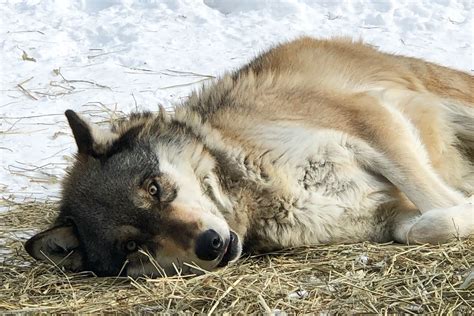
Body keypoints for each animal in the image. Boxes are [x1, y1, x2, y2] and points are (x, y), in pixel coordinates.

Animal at [25, 38, 474, 278]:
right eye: (134, 245)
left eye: (153, 188)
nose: (209, 244)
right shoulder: (389, 218)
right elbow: (428, 226)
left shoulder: (371, 121)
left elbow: (437, 199)